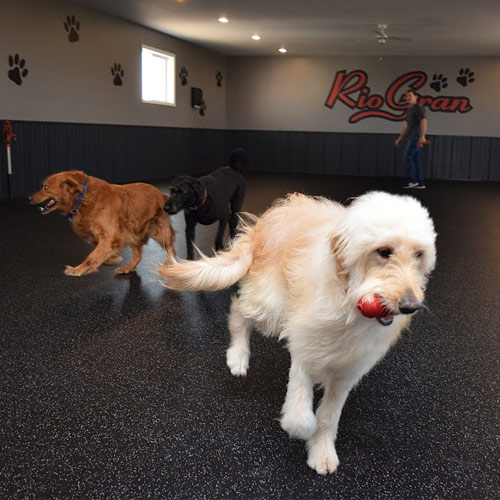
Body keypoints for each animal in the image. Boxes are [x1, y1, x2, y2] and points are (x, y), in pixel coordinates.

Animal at [30, 170, 176, 276]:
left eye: (45, 187)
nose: (29, 198)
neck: (83, 199)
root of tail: (160, 194)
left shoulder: (109, 236)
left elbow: (91, 257)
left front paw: (77, 269)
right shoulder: (106, 237)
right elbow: (100, 254)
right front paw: (111, 260)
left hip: (159, 231)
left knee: (170, 248)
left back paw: (170, 265)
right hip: (133, 232)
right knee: (138, 255)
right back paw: (128, 267)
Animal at [158, 190, 436, 472]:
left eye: (418, 255)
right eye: (384, 252)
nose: (410, 306)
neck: (348, 305)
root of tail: (267, 219)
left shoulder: (347, 371)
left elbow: (329, 415)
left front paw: (321, 450)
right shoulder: (306, 345)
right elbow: (300, 413)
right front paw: (302, 429)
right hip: (270, 303)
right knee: (239, 312)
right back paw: (237, 355)